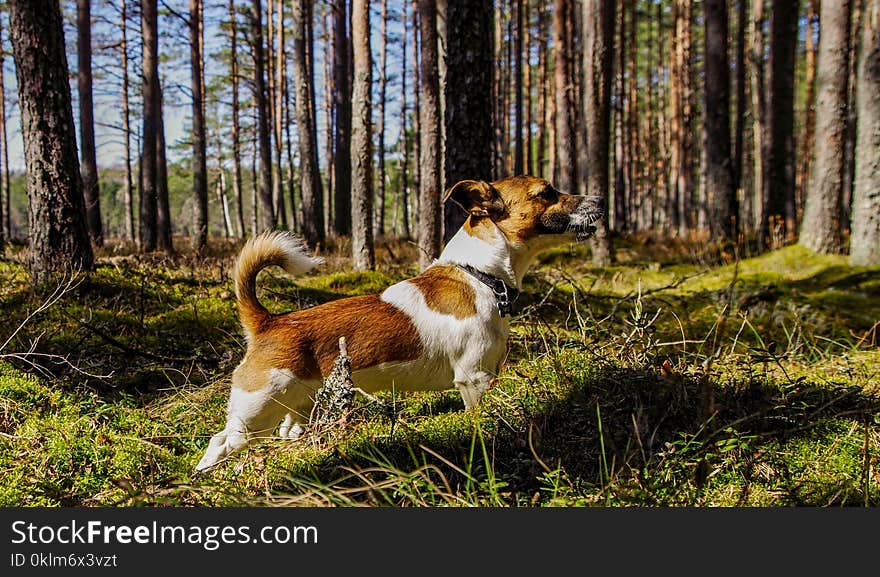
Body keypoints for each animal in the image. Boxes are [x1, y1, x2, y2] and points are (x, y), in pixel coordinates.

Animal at [195, 177, 600, 472]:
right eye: (547, 193)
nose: (599, 199)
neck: (480, 276)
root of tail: (269, 321)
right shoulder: (474, 380)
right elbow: (478, 420)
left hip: (295, 408)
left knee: (285, 431)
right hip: (256, 412)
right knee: (219, 442)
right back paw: (204, 477)